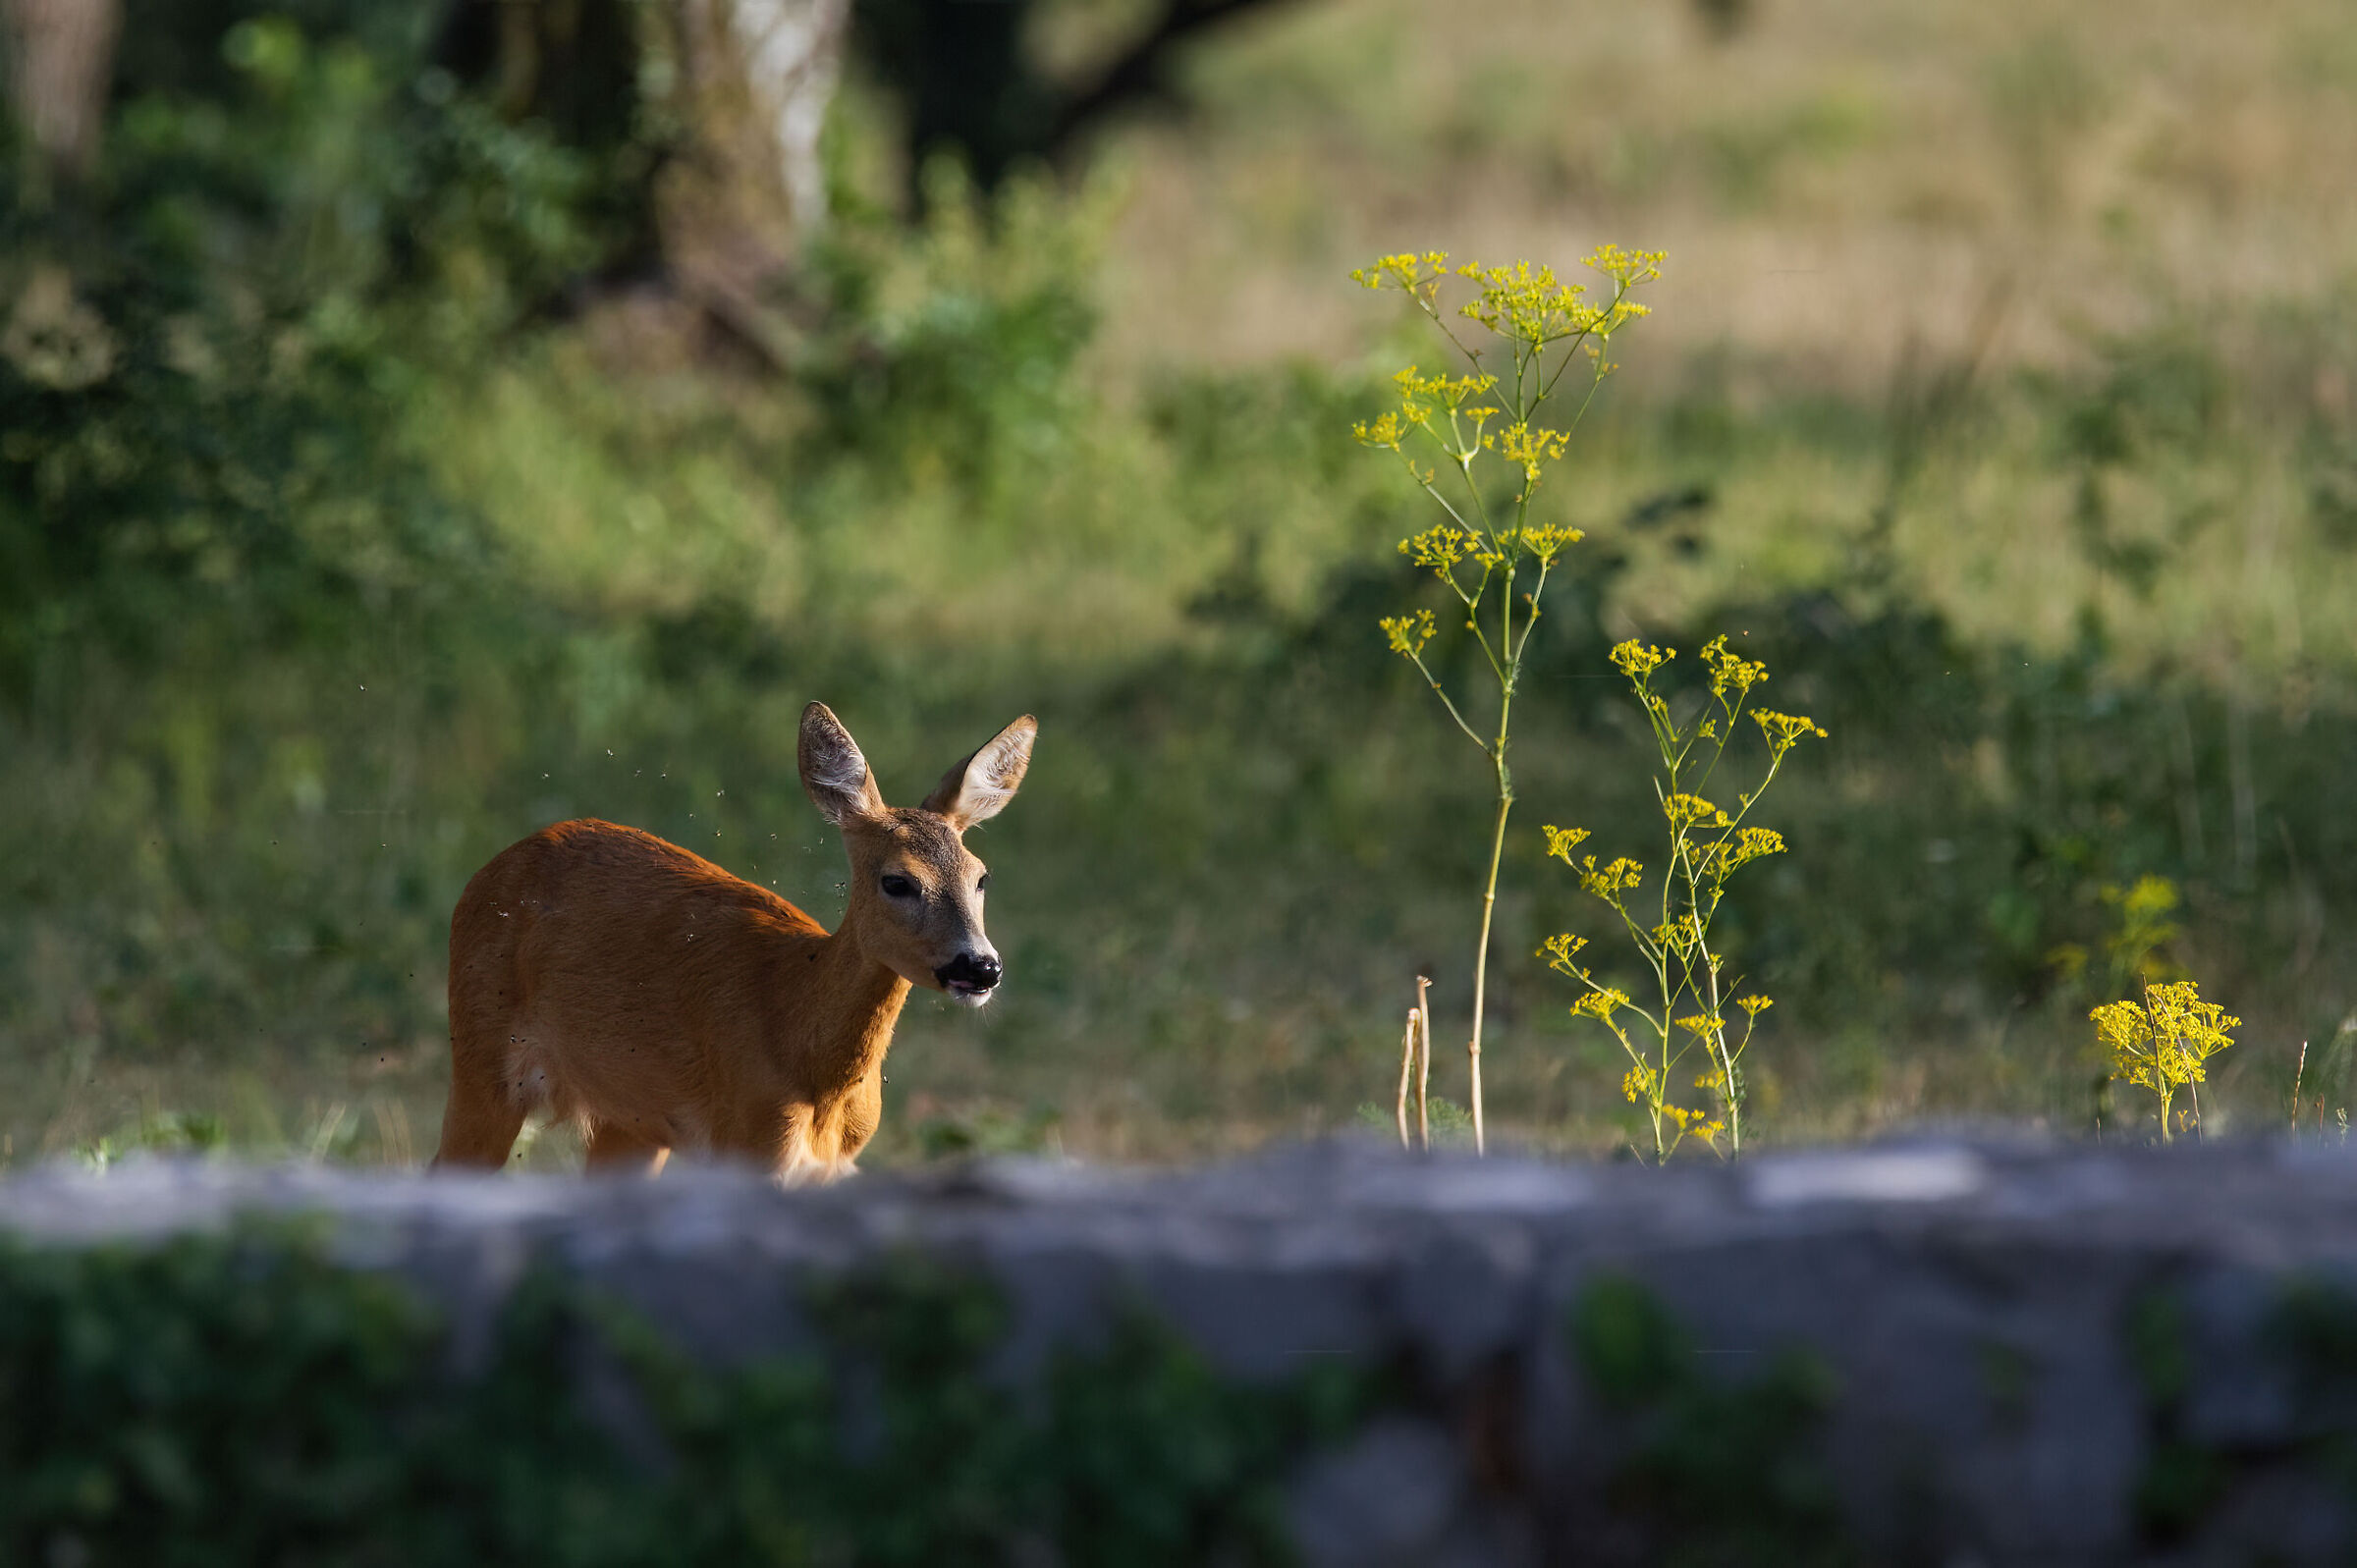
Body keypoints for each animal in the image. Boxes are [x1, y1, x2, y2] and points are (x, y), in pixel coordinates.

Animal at [430, 702, 1036, 1183]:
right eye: (897, 881)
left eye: (981, 877)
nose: (980, 967)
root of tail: (493, 866)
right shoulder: (749, 1138)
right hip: (483, 1049)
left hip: (629, 1117)